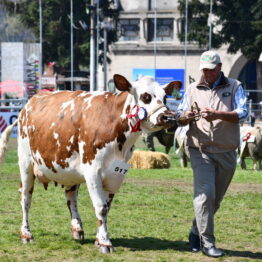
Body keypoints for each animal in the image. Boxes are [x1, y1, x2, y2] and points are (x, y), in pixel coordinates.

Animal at [0, 74, 177, 254]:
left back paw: (77, 229)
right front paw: (105, 242)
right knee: (25, 197)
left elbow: (106, 208)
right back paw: (26, 234)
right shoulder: (93, 171)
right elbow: (101, 207)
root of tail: (29, 102)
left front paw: (99, 239)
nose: (167, 117)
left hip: (70, 172)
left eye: (165, 97)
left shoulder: (116, 174)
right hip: (26, 163)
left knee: (71, 198)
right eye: (145, 97)